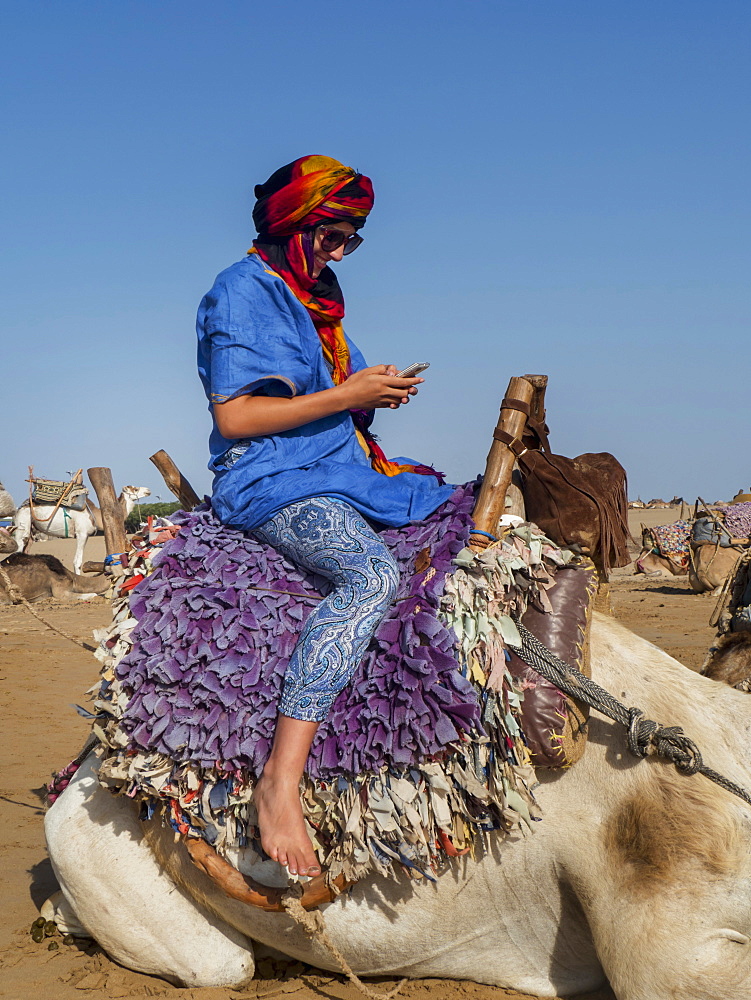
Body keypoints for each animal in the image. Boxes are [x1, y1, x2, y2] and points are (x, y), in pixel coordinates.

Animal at [12, 482, 151, 572]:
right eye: (135, 489)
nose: (148, 490)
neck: (95, 515)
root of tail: (19, 508)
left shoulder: (86, 535)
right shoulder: (81, 533)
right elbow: (77, 562)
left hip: (31, 532)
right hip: (22, 525)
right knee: (17, 549)